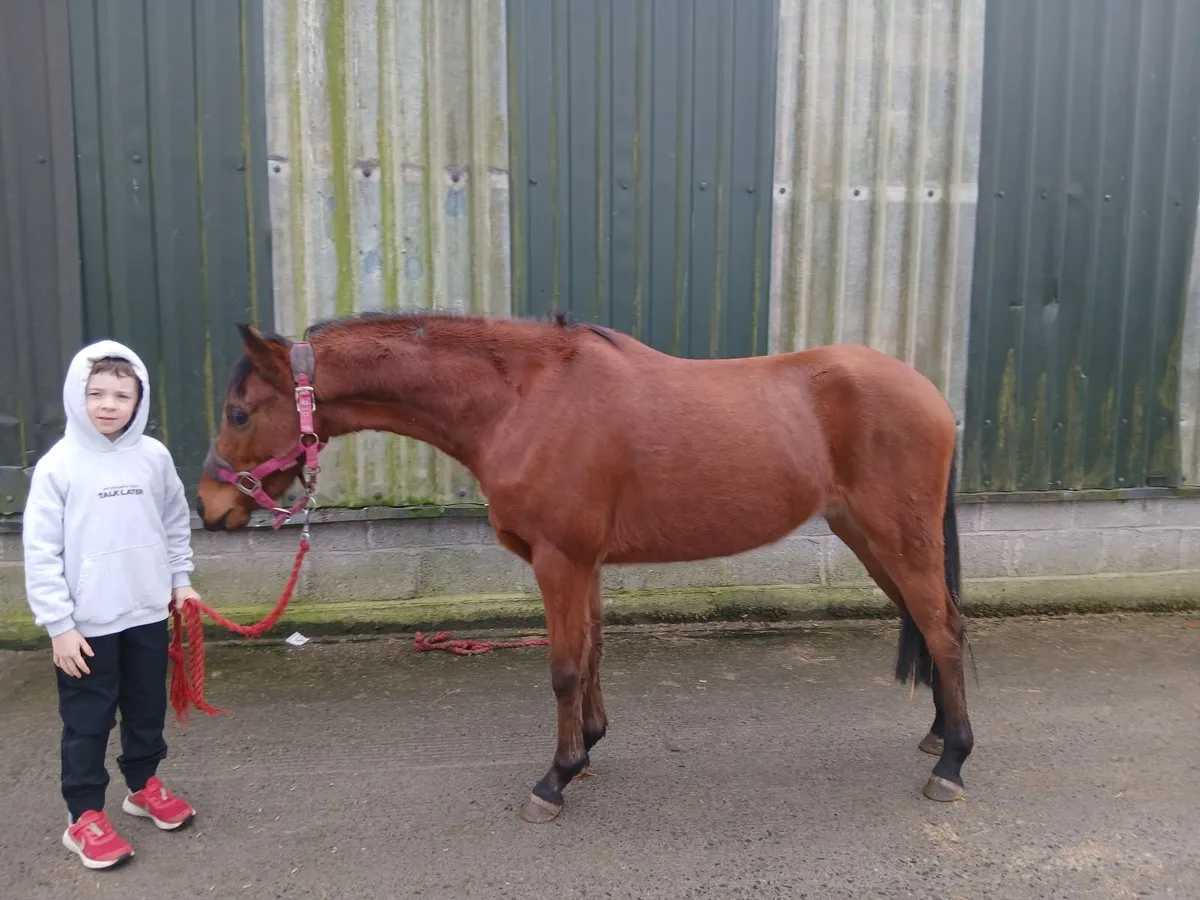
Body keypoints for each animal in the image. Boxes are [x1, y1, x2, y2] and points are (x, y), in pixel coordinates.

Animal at [195, 312, 974, 824]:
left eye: (238, 413)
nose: (208, 507)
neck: (523, 399)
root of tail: (933, 395)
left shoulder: (560, 560)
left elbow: (565, 666)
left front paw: (555, 779)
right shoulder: (587, 563)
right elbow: (594, 651)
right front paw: (589, 748)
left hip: (896, 538)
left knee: (944, 630)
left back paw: (953, 764)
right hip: (867, 538)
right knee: (936, 624)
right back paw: (939, 735)